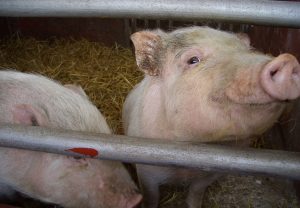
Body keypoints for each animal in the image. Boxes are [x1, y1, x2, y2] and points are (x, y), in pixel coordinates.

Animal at [122, 26, 300, 208]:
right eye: (193, 60)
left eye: (247, 50)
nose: (287, 60)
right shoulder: (146, 171)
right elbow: (151, 196)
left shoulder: (211, 174)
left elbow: (196, 192)